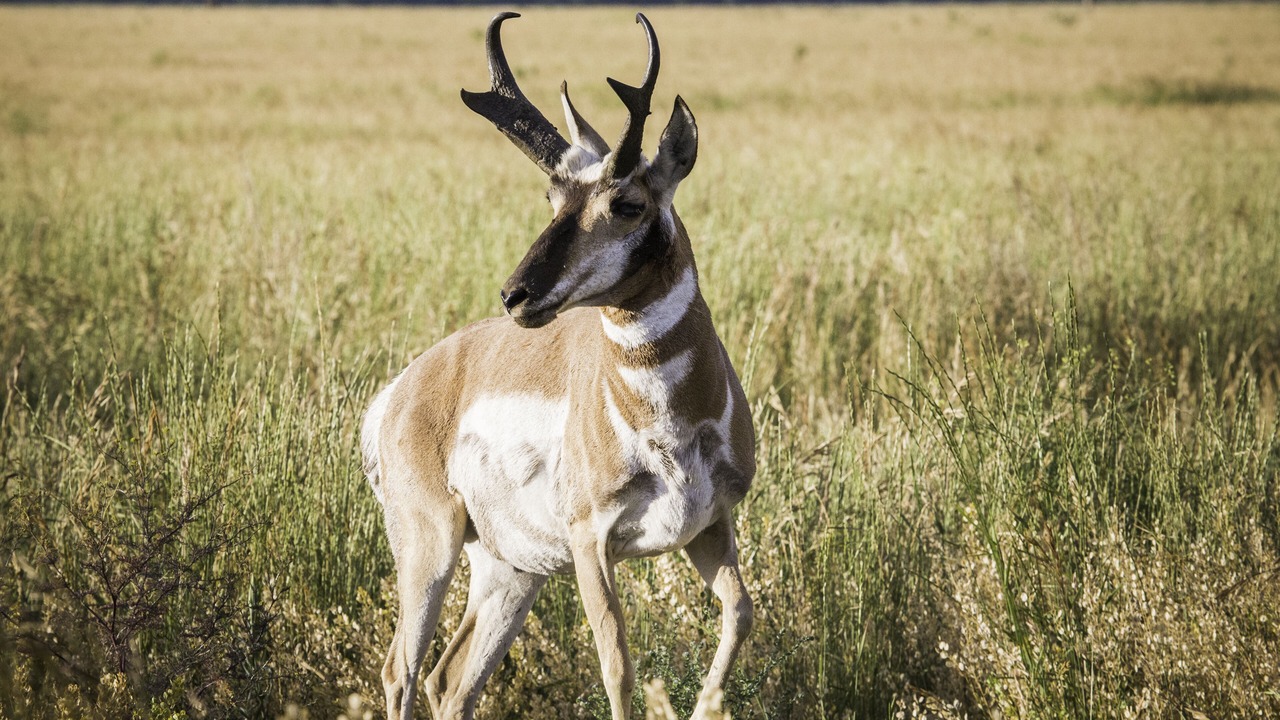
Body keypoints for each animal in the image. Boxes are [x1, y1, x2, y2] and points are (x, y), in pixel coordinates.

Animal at [360, 12, 754, 720]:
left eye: (626, 203)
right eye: (553, 197)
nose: (516, 295)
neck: (669, 426)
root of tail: (406, 386)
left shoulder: (710, 526)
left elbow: (741, 614)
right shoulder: (591, 543)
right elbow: (617, 665)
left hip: (512, 570)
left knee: (449, 679)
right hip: (429, 547)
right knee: (401, 670)